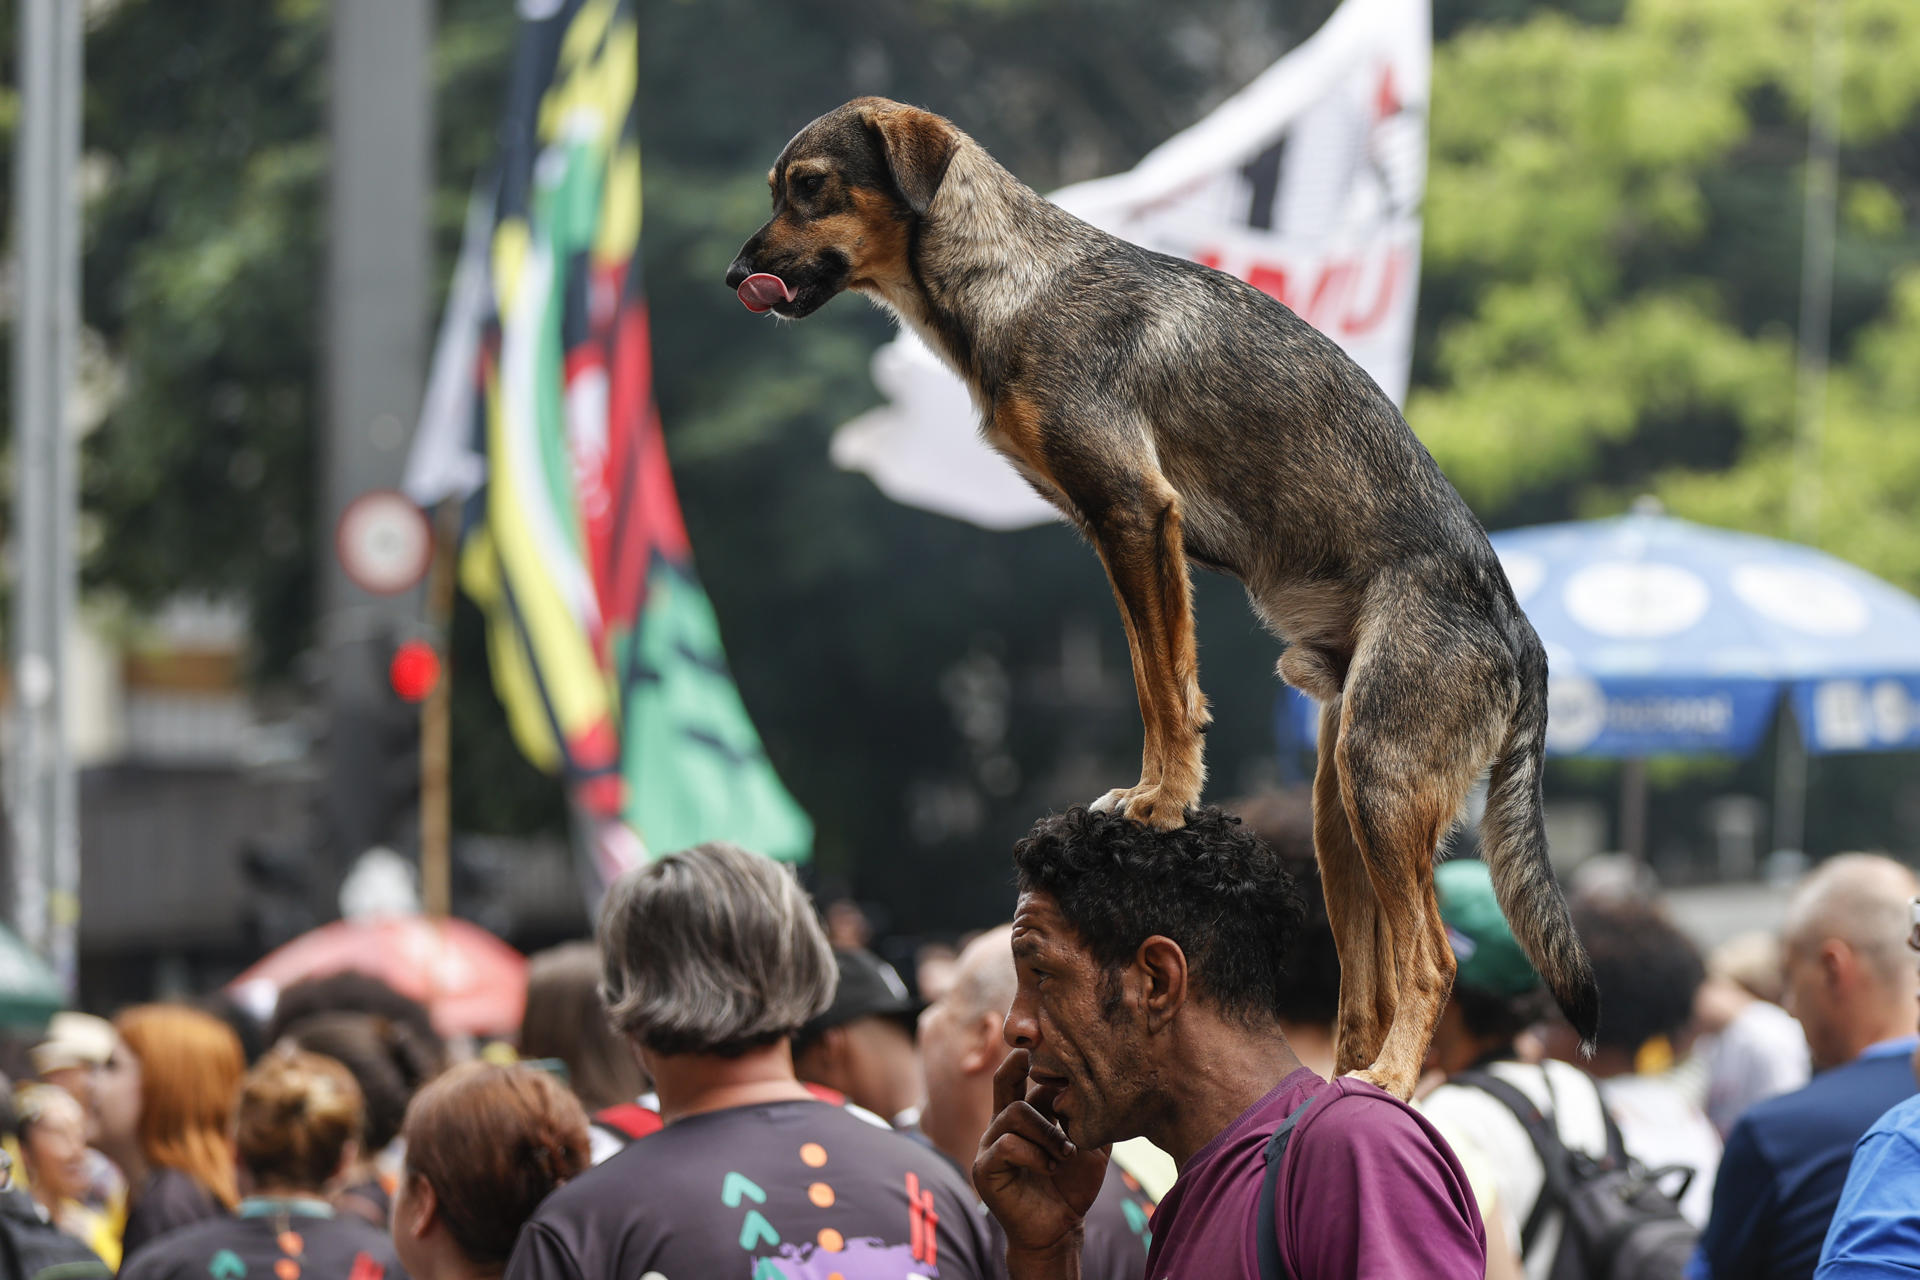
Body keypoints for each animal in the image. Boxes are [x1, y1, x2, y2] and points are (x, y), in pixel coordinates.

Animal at [725, 100, 1597, 1105]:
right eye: (780, 188)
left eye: (811, 186)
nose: (732, 276)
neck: (1014, 280)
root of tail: (1522, 632)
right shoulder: (1115, 531)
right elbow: (1157, 678)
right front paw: (1154, 794)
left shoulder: (1136, 513)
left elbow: (1164, 688)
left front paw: (1163, 801)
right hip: (1339, 809)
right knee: (1367, 989)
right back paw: (1348, 1080)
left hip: (1379, 776)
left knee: (1431, 963)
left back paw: (1387, 1080)